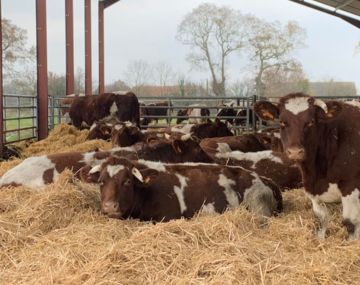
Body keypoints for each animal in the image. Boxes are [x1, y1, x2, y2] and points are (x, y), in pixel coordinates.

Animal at [253, 92, 360, 239]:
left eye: (310, 122)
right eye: (282, 122)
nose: (295, 151)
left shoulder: (351, 186)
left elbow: (350, 223)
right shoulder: (312, 189)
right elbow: (321, 219)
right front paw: (320, 239)